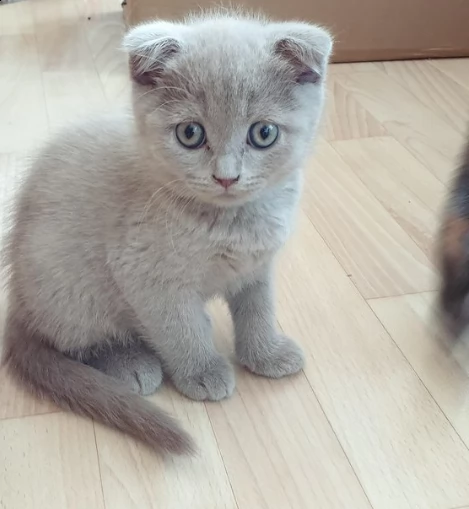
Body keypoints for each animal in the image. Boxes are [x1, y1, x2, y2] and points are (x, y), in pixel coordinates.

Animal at [3, 11, 332, 452]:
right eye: (190, 134)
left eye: (263, 133)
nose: (226, 177)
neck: (233, 223)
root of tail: (18, 304)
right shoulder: (145, 275)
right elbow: (178, 328)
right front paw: (201, 371)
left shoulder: (257, 267)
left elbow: (258, 309)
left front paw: (265, 353)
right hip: (67, 282)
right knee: (73, 342)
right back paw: (130, 362)